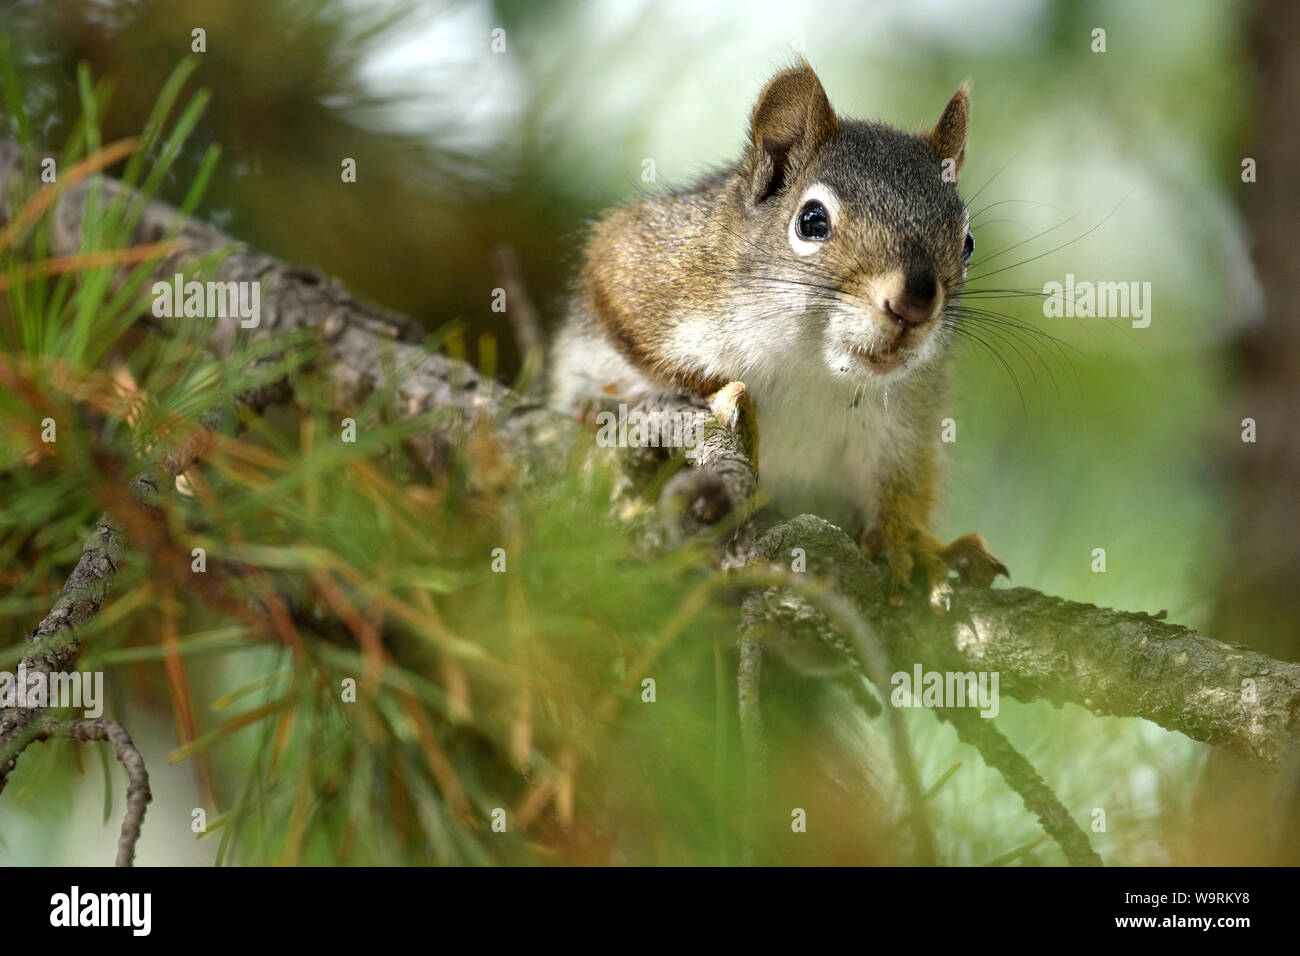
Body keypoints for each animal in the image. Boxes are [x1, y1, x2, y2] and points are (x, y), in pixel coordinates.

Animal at [548, 63, 1003, 608]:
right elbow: (643, 339)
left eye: (968, 243)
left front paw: (908, 540)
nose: (914, 304)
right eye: (812, 220)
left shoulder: (906, 418)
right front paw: (730, 403)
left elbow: (902, 481)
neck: (810, 366)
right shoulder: (641, 266)